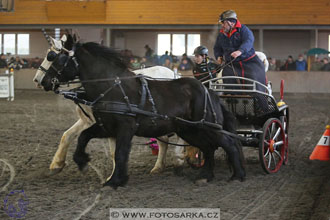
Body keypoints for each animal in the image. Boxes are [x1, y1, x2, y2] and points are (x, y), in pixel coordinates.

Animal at [38, 35, 245, 188]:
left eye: (54, 57)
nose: (41, 81)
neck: (111, 86)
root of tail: (210, 91)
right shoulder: (105, 126)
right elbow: (82, 137)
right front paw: (81, 161)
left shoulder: (125, 127)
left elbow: (120, 152)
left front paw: (114, 180)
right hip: (190, 130)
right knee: (207, 147)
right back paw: (204, 175)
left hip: (208, 127)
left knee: (227, 144)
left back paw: (237, 176)